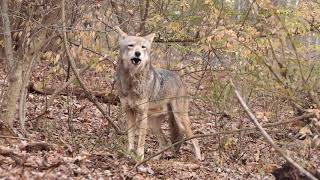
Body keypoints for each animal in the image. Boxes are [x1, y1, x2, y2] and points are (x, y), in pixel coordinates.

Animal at [114, 26, 200, 160]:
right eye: (131, 45)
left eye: (143, 47)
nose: (137, 53)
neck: (132, 82)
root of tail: (179, 78)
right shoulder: (129, 112)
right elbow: (131, 137)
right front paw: (129, 153)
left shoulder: (142, 114)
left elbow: (141, 140)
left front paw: (140, 157)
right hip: (153, 124)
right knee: (165, 141)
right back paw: (155, 158)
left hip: (180, 119)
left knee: (194, 140)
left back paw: (198, 159)